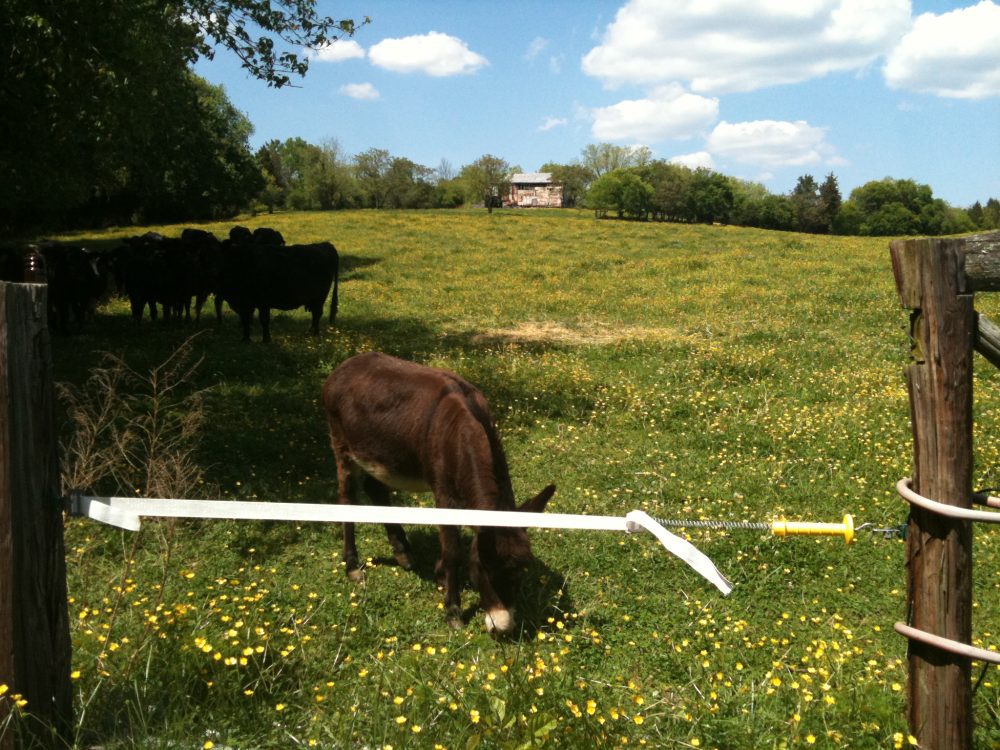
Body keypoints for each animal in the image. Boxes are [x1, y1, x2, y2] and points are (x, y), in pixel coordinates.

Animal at [322, 356, 552, 636]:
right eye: (484, 570)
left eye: (520, 572)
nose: (503, 628)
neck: (464, 430)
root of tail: (347, 364)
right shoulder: (443, 493)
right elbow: (453, 550)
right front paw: (453, 610)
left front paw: (440, 574)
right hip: (342, 445)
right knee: (347, 498)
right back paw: (353, 567)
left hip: (378, 454)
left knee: (376, 490)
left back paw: (402, 552)